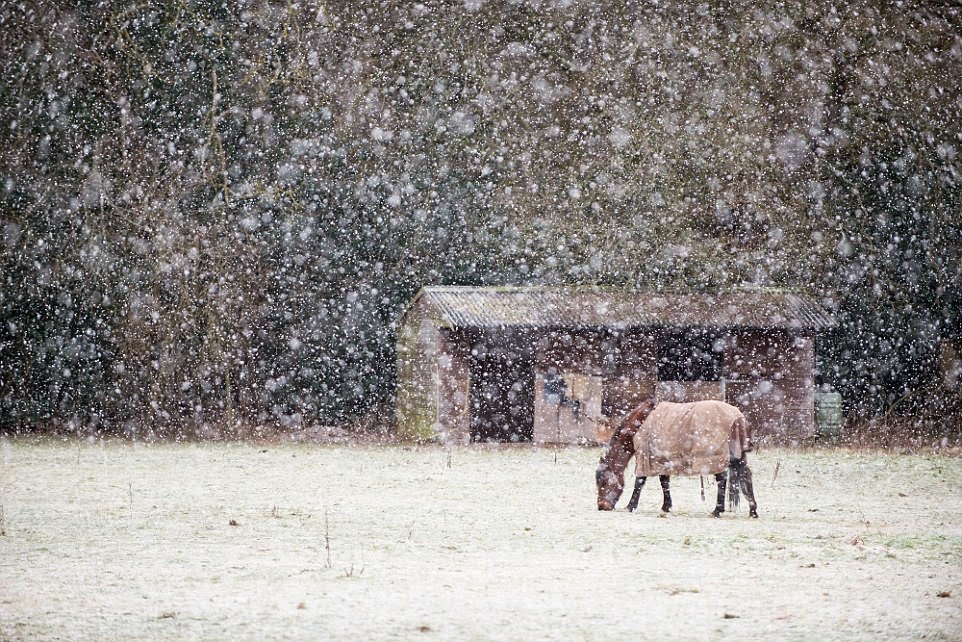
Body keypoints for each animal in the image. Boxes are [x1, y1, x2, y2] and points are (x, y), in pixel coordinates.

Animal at [592, 398, 756, 516]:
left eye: (604, 481)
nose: (602, 506)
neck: (642, 422)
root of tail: (738, 418)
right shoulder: (662, 459)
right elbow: (664, 482)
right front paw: (666, 506)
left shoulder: (646, 457)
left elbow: (640, 482)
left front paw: (630, 506)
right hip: (736, 457)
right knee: (746, 476)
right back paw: (753, 511)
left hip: (714, 457)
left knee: (722, 480)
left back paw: (717, 510)